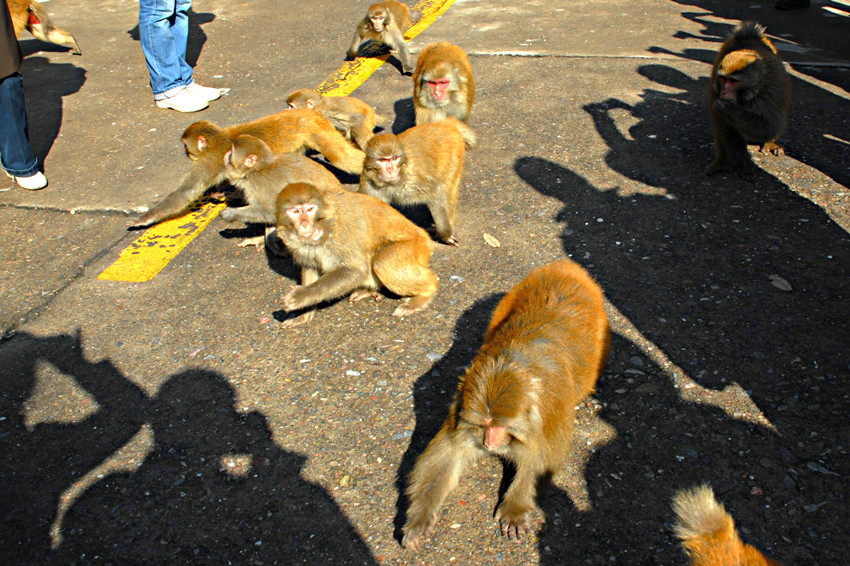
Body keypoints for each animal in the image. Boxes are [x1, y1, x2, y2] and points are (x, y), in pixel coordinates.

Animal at [130, 108, 364, 229]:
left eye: (187, 146)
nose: (186, 153)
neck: (217, 139)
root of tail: (311, 111)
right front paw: (222, 193)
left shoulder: (210, 160)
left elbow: (184, 193)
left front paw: (144, 219)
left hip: (318, 131)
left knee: (343, 158)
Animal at [274, 182, 438, 328]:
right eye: (295, 211)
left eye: (309, 209)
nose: (304, 224)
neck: (322, 226)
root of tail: (425, 237)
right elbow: (310, 268)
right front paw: (303, 314)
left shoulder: (341, 233)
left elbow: (356, 270)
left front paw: (298, 297)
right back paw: (371, 291)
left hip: (417, 247)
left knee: (382, 261)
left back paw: (425, 293)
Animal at [356, 117, 474, 246]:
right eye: (382, 160)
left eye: (394, 158)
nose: (390, 170)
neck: (392, 184)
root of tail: (443, 125)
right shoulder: (368, 184)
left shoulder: (413, 179)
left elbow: (436, 193)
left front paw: (445, 235)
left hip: (454, 156)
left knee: (448, 190)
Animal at [400, 260, 608, 552]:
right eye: (484, 425)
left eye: (499, 427)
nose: (488, 444)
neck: (513, 361)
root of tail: (565, 266)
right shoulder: (461, 403)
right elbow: (447, 454)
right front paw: (419, 519)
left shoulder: (551, 410)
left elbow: (543, 456)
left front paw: (516, 506)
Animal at [704, 21, 788, 178]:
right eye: (723, 79)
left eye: (733, 81)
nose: (724, 91)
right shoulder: (714, 86)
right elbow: (724, 126)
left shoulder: (774, 89)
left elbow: (770, 126)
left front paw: (728, 108)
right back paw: (723, 160)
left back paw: (770, 143)